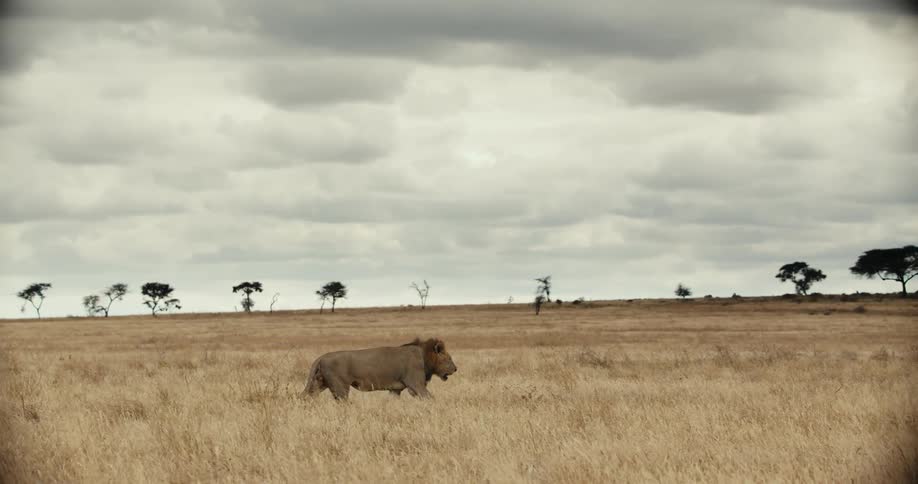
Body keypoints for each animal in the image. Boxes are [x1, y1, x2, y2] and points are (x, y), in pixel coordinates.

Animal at [300, 338, 457, 400]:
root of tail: (321, 357)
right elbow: (430, 398)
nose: (456, 369)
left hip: (318, 383)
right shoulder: (416, 384)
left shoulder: (395, 390)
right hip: (340, 387)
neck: (425, 356)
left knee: (305, 397)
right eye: (448, 359)